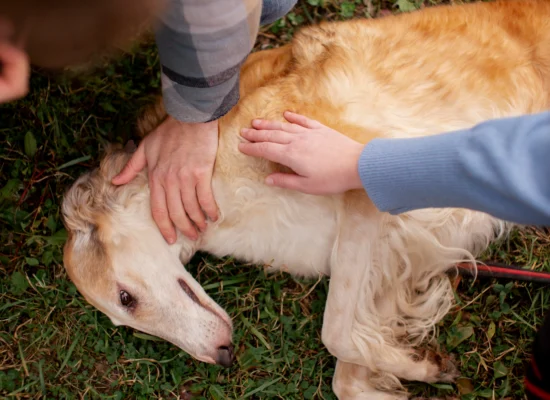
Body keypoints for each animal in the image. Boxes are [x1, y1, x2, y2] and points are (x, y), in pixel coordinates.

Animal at [60, 0, 550, 396]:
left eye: (125, 298)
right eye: (122, 316)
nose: (222, 356)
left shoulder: (367, 174)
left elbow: (334, 332)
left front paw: (421, 366)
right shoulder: (392, 254)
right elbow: (347, 376)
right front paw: (413, 367)